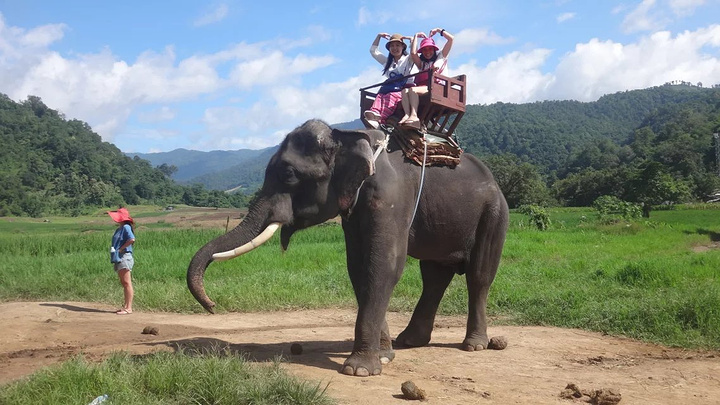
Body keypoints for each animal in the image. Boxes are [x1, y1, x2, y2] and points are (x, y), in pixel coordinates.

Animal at [187, 119, 508, 377]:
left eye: (289, 173)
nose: (213, 306)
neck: (348, 136)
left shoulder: (391, 198)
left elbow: (385, 266)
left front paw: (359, 370)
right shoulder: (354, 210)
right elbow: (358, 266)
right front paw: (384, 355)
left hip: (495, 214)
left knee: (479, 275)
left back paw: (473, 346)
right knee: (434, 276)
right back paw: (409, 341)